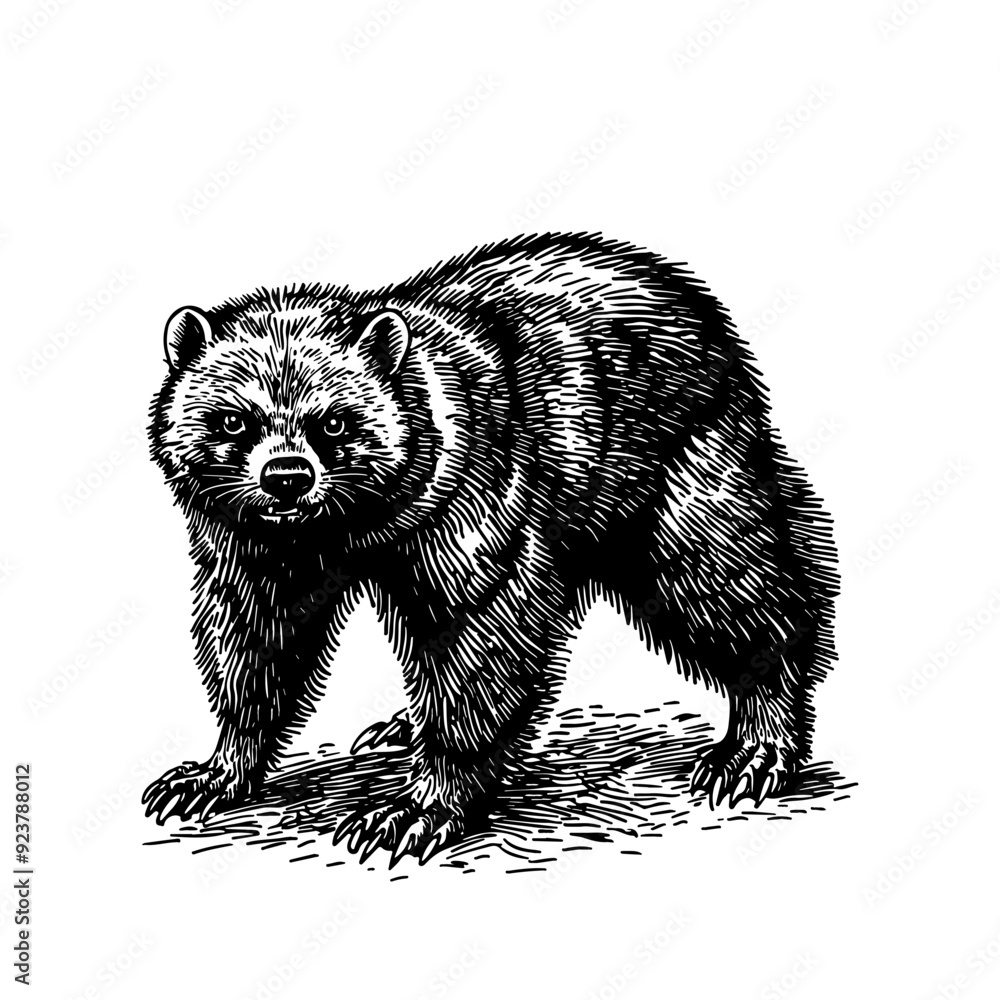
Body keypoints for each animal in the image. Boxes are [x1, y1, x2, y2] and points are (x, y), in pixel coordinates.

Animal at [144, 232, 838, 865]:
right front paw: (211, 774)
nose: (286, 475)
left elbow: (482, 644)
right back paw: (398, 729)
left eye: (335, 421)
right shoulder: (257, 548)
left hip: (676, 464)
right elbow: (254, 642)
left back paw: (753, 748)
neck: (344, 532)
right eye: (233, 418)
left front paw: (413, 808)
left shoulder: (472, 498)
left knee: (728, 581)